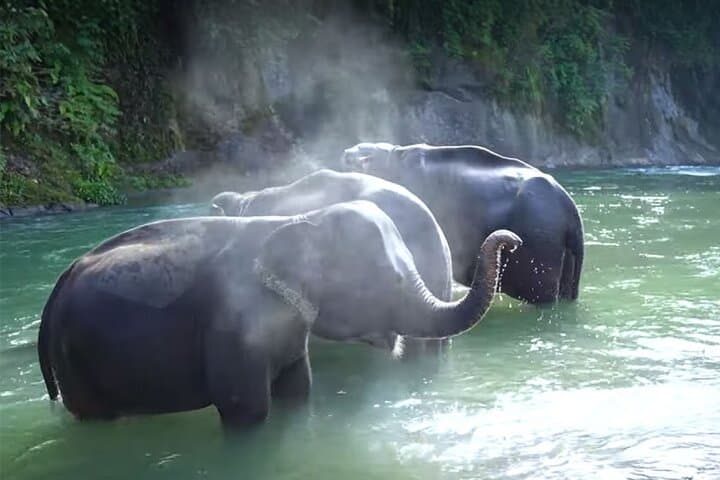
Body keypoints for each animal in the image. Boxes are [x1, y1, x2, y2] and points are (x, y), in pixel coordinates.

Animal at [38, 200, 521, 428]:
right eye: (389, 280)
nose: (513, 240)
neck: (300, 220)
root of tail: (59, 283)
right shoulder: (233, 325)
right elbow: (245, 409)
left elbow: (299, 391)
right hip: (76, 361)